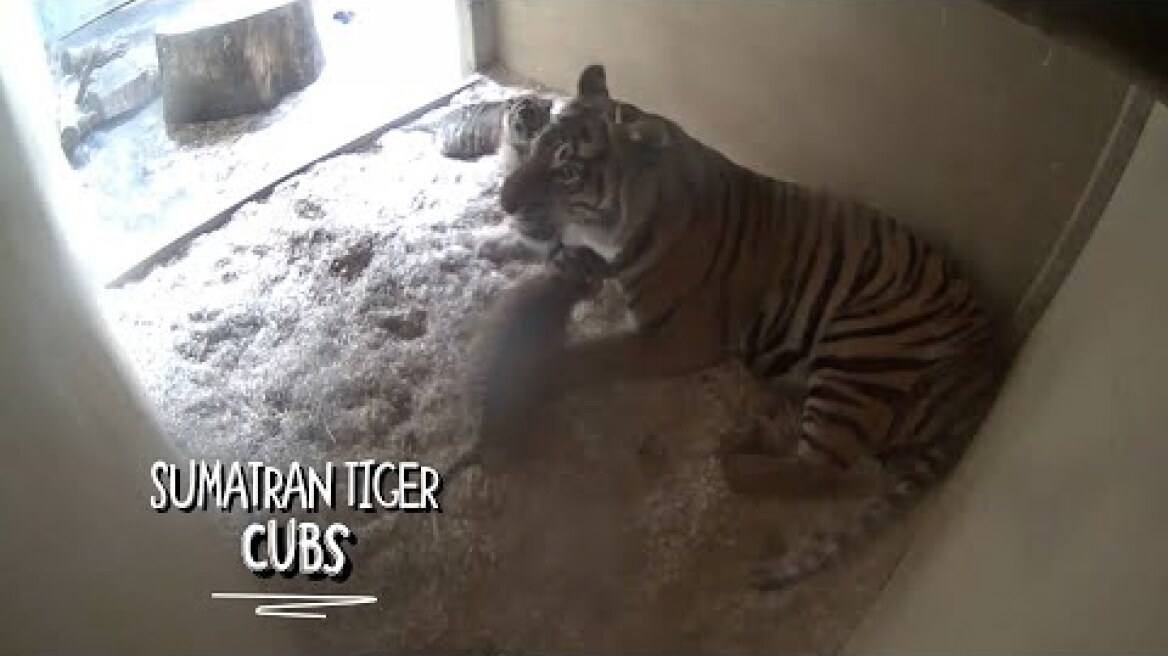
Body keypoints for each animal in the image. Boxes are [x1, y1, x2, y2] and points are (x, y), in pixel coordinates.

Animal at [403, 94, 554, 173]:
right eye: (518, 126)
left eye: (538, 120)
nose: (530, 134)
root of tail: (436, 123)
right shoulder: (507, 146)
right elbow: (515, 160)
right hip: (448, 144)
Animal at [496, 63, 1010, 591]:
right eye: (535, 146)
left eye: (567, 172)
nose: (503, 202)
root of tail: (990, 370)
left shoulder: (678, 339)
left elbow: (590, 355)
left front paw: (533, 376)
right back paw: (763, 422)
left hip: (860, 343)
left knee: (825, 469)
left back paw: (733, 454)